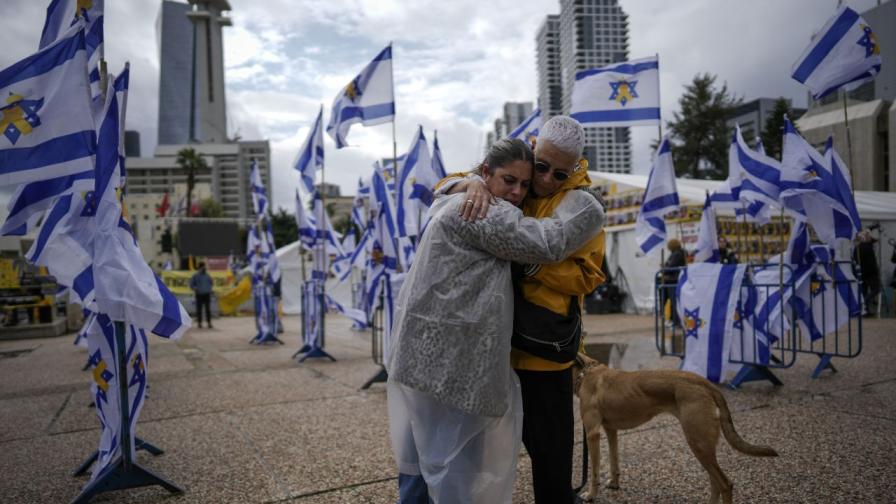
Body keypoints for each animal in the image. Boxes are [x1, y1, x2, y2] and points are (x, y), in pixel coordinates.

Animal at [576, 352, 776, 502]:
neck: (585, 371)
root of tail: (706, 383)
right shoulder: (611, 431)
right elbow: (614, 461)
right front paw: (614, 483)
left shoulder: (592, 434)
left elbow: (594, 472)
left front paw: (590, 495)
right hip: (704, 447)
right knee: (715, 482)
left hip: (698, 443)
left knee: (725, 484)